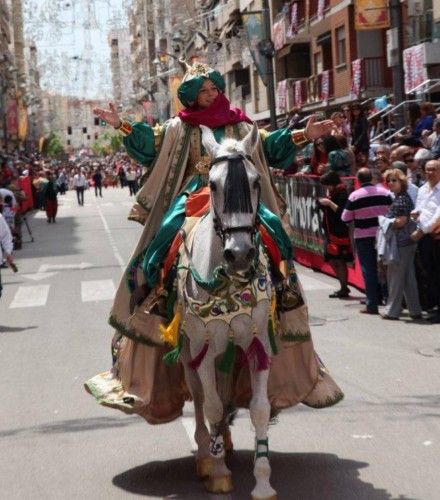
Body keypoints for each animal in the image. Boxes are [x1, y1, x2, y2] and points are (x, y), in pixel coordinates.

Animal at [175, 123, 276, 498]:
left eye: (256, 181)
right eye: (214, 184)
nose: (241, 254)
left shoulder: (258, 343)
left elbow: (260, 409)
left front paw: (263, 482)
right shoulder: (202, 346)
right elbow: (213, 405)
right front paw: (218, 472)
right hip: (189, 349)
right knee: (200, 397)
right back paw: (207, 454)